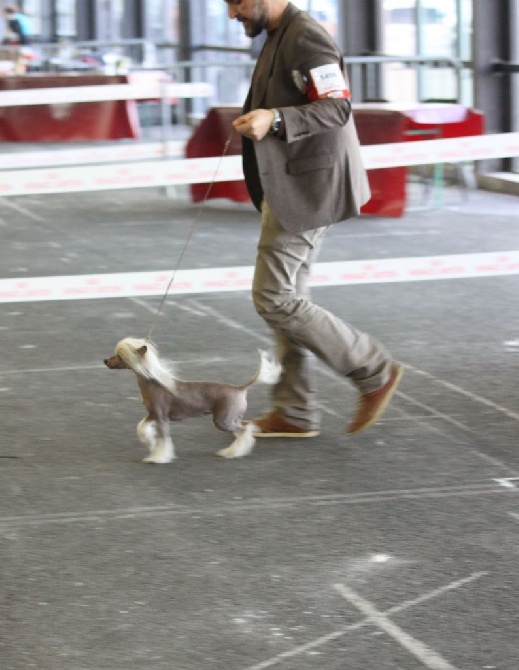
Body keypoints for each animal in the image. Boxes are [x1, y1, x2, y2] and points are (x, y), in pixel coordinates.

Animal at [102, 338, 280, 464]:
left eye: (119, 356)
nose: (105, 361)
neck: (153, 382)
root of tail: (240, 388)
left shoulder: (161, 418)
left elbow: (163, 440)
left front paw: (157, 458)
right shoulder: (152, 415)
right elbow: (141, 426)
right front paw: (147, 439)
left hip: (222, 420)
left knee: (244, 431)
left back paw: (232, 453)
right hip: (230, 419)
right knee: (242, 431)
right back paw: (234, 450)